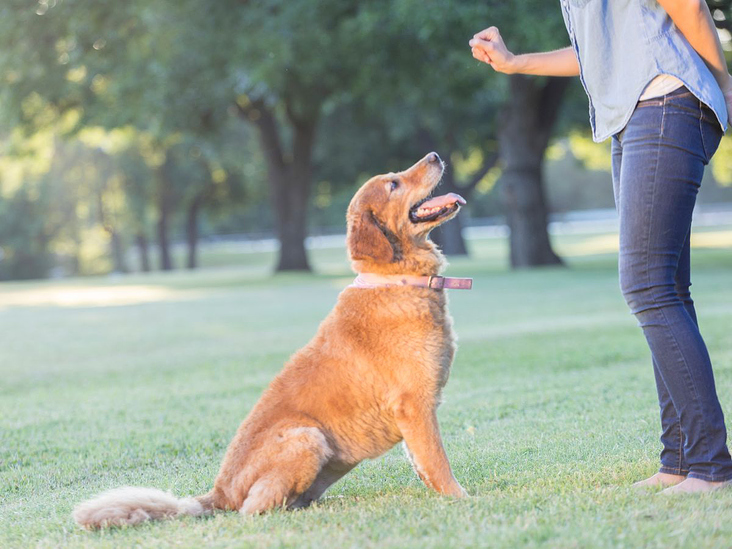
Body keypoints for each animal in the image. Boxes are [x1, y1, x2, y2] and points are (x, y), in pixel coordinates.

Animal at [74, 152, 472, 528]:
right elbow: (438, 462)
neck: (397, 280)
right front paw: (462, 499)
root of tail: (219, 493)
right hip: (307, 436)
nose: (435, 155)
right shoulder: (413, 406)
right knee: (253, 509)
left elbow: (423, 464)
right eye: (393, 184)